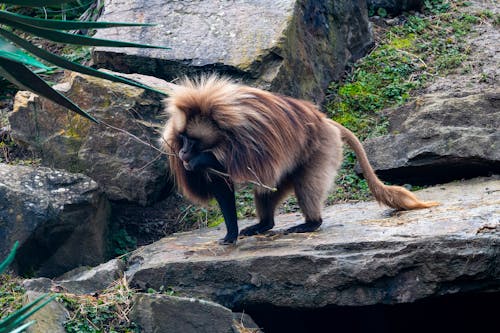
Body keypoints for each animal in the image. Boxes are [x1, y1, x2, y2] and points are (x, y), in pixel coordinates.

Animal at [161, 76, 438, 245]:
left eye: (191, 141)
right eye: (182, 138)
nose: (183, 154)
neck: (221, 129)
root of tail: (325, 121)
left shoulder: (250, 136)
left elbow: (253, 167)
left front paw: (199, 160)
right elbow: (223, 187)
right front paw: (231, 234)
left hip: (322, 149)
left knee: (306, 187)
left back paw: (310, 224)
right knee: (270, 191)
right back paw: (264, 225)